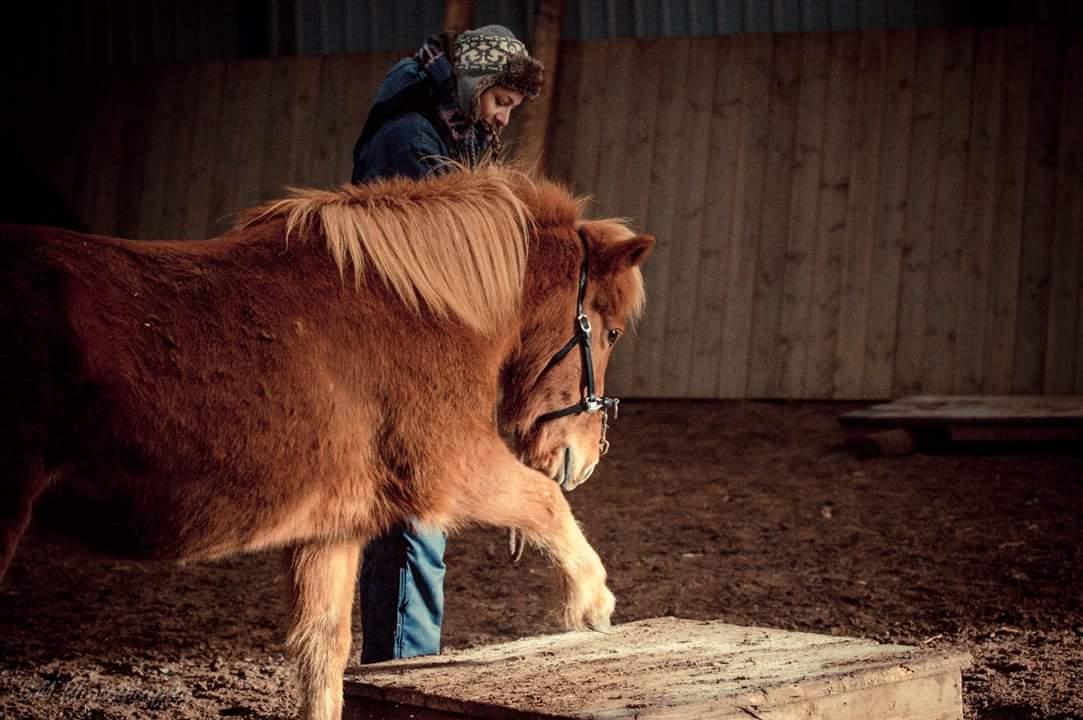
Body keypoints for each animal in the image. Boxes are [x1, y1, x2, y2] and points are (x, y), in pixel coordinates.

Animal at [0, 164, 654, 720]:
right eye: (611, 332)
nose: (585, 459)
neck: (420, 306)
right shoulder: (452, 472)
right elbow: (545, 502)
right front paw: (591, 603)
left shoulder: (331, 530)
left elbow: (322, 651)